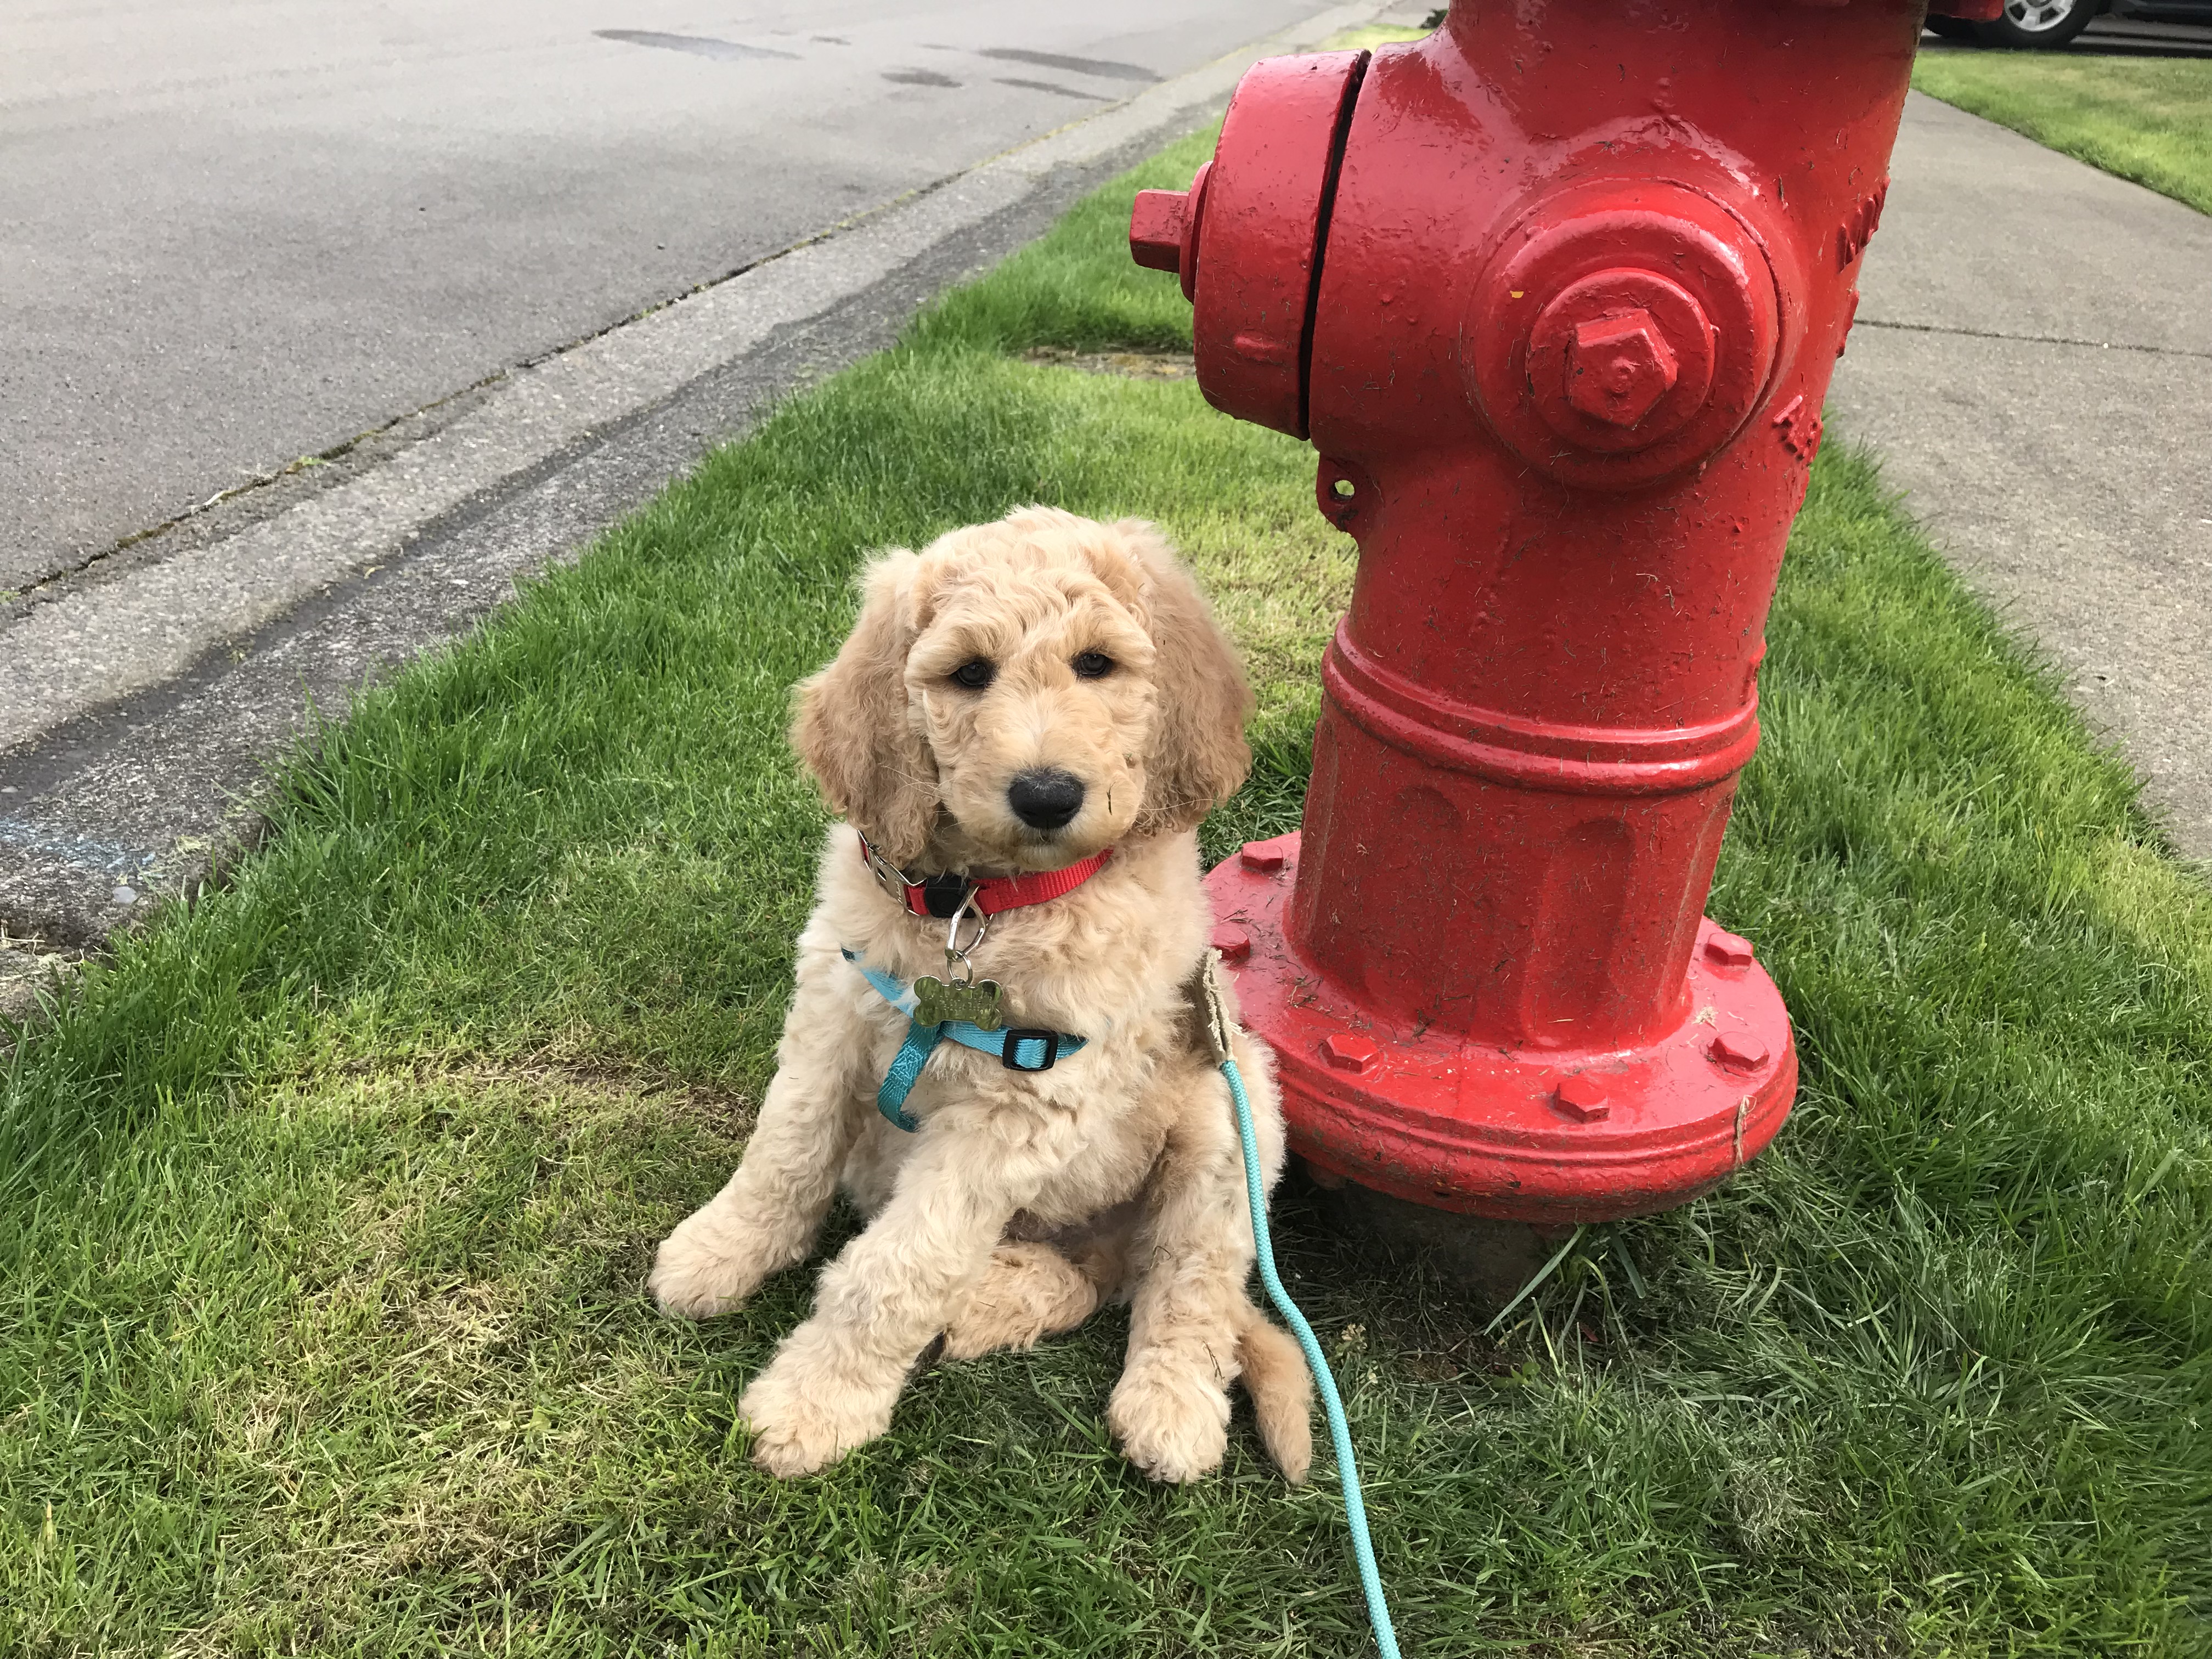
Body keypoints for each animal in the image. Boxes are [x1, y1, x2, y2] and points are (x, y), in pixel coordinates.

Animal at [650, 504, 1309, 1477]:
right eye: (968, 674)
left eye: (1096, 664)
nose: (1047, 795)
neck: (982, 906)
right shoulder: (832, 1013)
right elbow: (784, 1153)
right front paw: (722, 1250)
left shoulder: (1020, 1108)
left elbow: (899, 1267)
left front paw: (817, 1401)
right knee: (1087, 1281)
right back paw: (990, 1301)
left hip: (1231, 1116)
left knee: (1188, 1282)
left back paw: (1171, 1408)